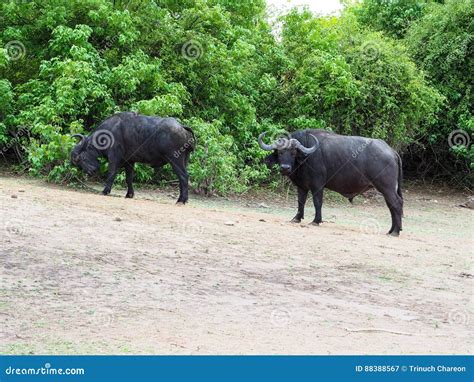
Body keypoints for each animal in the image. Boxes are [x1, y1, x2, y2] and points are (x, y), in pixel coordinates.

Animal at [260, 129, 404, 236]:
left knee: (396, 203)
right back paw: (391, 230)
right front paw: (296, 218)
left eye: (293, 152)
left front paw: (316, 221)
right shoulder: (302, 186)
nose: (285, 168)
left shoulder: (317, 185)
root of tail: (392, 151)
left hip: (387, 187)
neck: (306, 158)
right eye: (279, 152)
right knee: (392, 205)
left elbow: (317, 203)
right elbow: (300, 202)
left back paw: (395, 232)